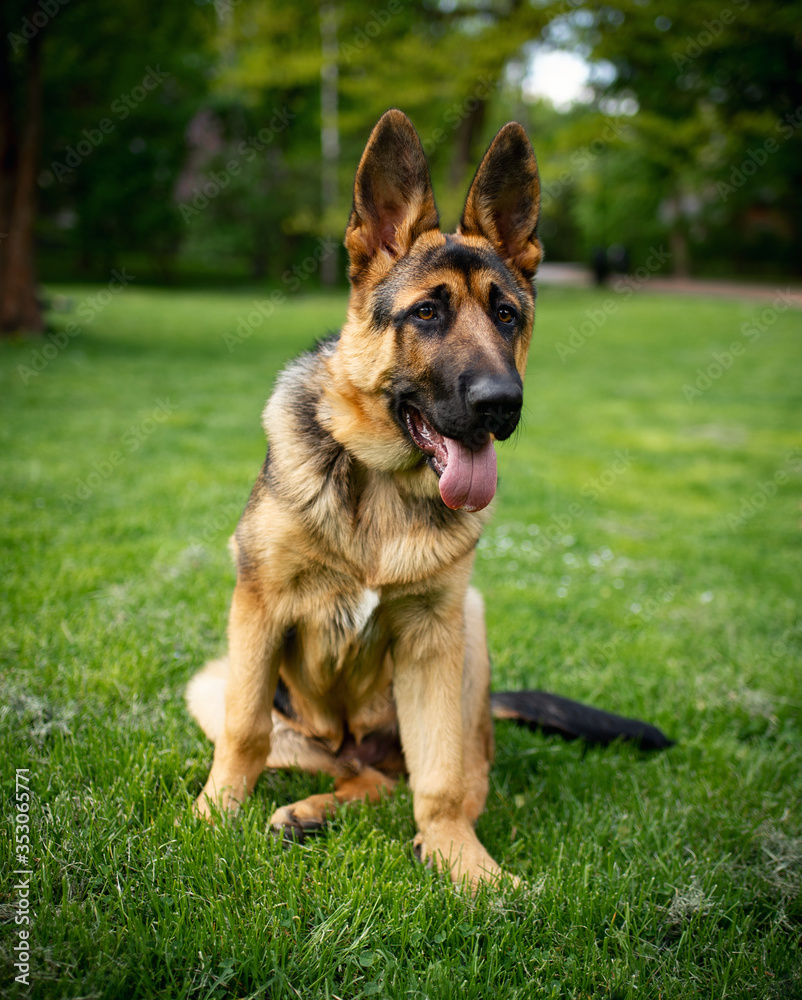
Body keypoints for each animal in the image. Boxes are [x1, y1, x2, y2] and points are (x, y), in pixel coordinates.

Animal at [188, 111, 668, 892]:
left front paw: (462, 862)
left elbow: (439, 779)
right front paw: (211, 816)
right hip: (221, 681)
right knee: (338, 764)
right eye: (427, 313)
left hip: (468, 624)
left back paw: (352, 820)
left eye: (506, 315)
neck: (382, 481)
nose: (502, 404)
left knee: (417, 777)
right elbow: (245, 731)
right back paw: (306, 809)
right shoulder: (257, 608)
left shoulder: (431, 638)